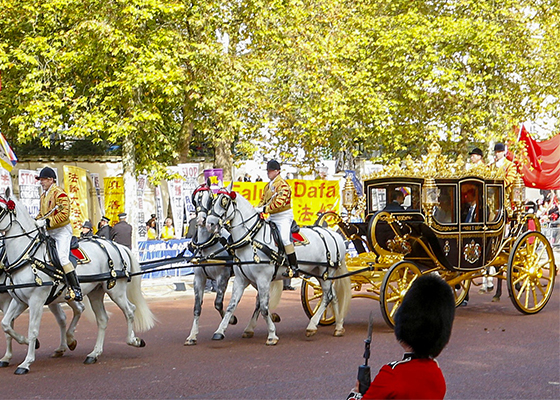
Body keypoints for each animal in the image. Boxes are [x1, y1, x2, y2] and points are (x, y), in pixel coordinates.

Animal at [0, 192, 154, 374]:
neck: (27, 256)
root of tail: (117, 245)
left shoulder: (36, 301)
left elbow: (32, 330)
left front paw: (26, 362)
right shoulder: (19, 300)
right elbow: (6, 325)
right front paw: (22, 346)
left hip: (116, 291)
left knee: (130, 310)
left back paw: (133, 340)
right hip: (95, 293)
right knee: (102, 319)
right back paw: (93, 353)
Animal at [184, 186, 282, 346]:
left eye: (210, 199)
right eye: (196, 199)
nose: (202, 220)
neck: (207, 245)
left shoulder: (222, 276)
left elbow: (218, 303)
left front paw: (231, 320)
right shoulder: (199, 278)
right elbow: (197, 308)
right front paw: (192, 335)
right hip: (252, 278)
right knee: (259, 300)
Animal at [206, 184, 350, 344]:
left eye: (224, 201)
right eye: (212, 201)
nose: (209, 223)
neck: (251, 239)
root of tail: (333, 234)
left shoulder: (263, 279)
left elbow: (264, 307)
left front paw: (272, 335)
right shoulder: (241, 279)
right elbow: (232, 305)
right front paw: (220, 331)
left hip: (326, 272)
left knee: (327, 297)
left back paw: (312, 326)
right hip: (319, 273)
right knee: (333, 296)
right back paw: (338, 326)